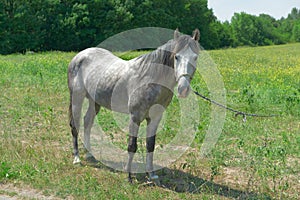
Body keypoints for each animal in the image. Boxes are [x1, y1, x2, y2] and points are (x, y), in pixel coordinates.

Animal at [67, 28, 199, 182]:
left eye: (195, 57)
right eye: (176, 57)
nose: (183, 89)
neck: (150, 79)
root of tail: (80, 55)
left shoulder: (155, 118)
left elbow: (150, 145)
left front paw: (151, 174)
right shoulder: (135, 117)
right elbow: (132, 145)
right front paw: (129, 176)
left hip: (95, 102)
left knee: (87, 122)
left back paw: (90, 154)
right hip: (77, 98)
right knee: (75, 125)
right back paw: (77, 158)